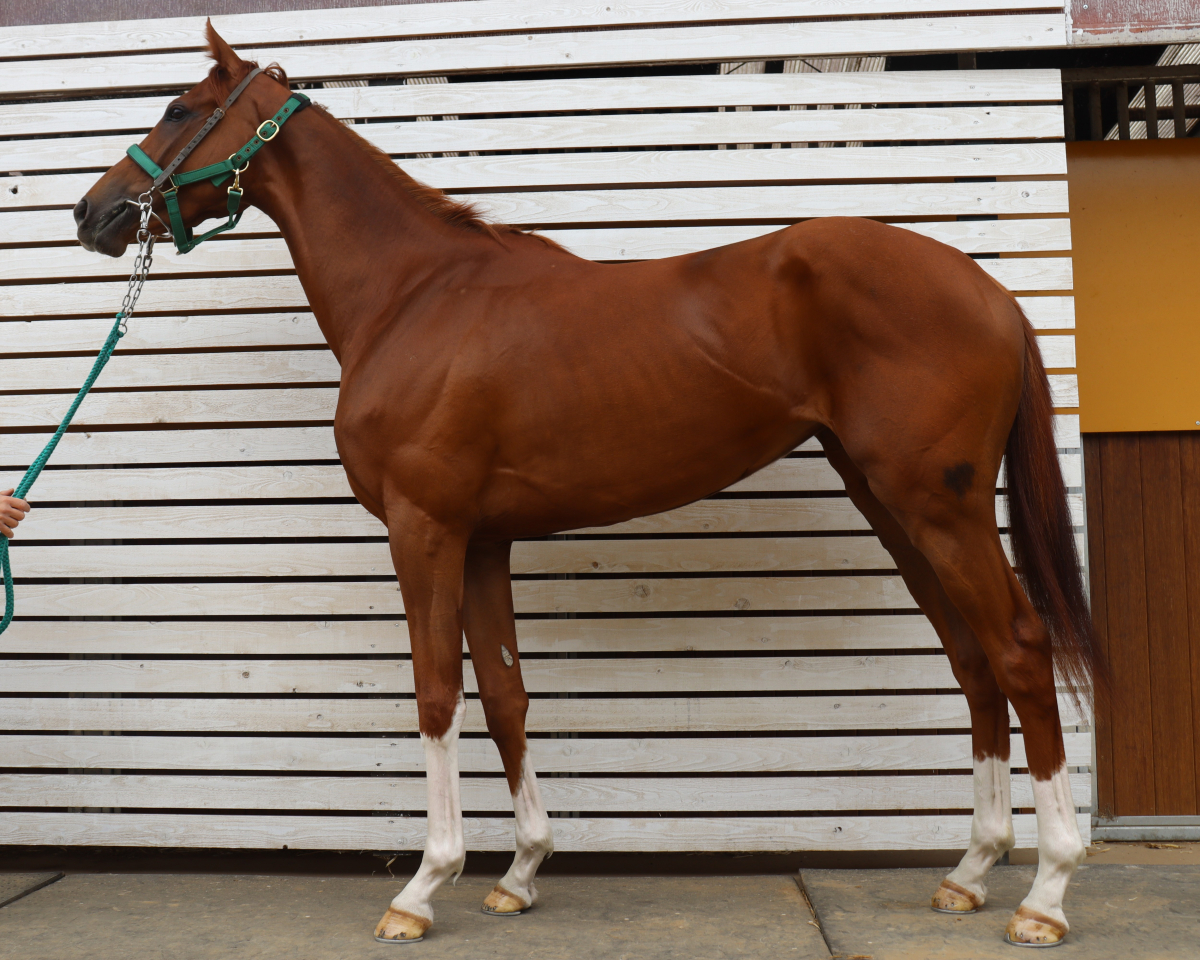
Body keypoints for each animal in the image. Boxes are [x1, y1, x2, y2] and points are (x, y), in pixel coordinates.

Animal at [74, 23, 1102, 948]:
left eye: (179, 109)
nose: (93, 213)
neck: (414, 296)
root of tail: (986, 289)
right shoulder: (483, 538)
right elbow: (505, 695)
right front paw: (520, 874)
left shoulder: (424, 528)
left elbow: (437, 693)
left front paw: (424, 886)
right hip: (896, 508)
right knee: (971, 661)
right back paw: (969, 872)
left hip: (940, 507)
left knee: (1017, 650)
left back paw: (1047, 893)